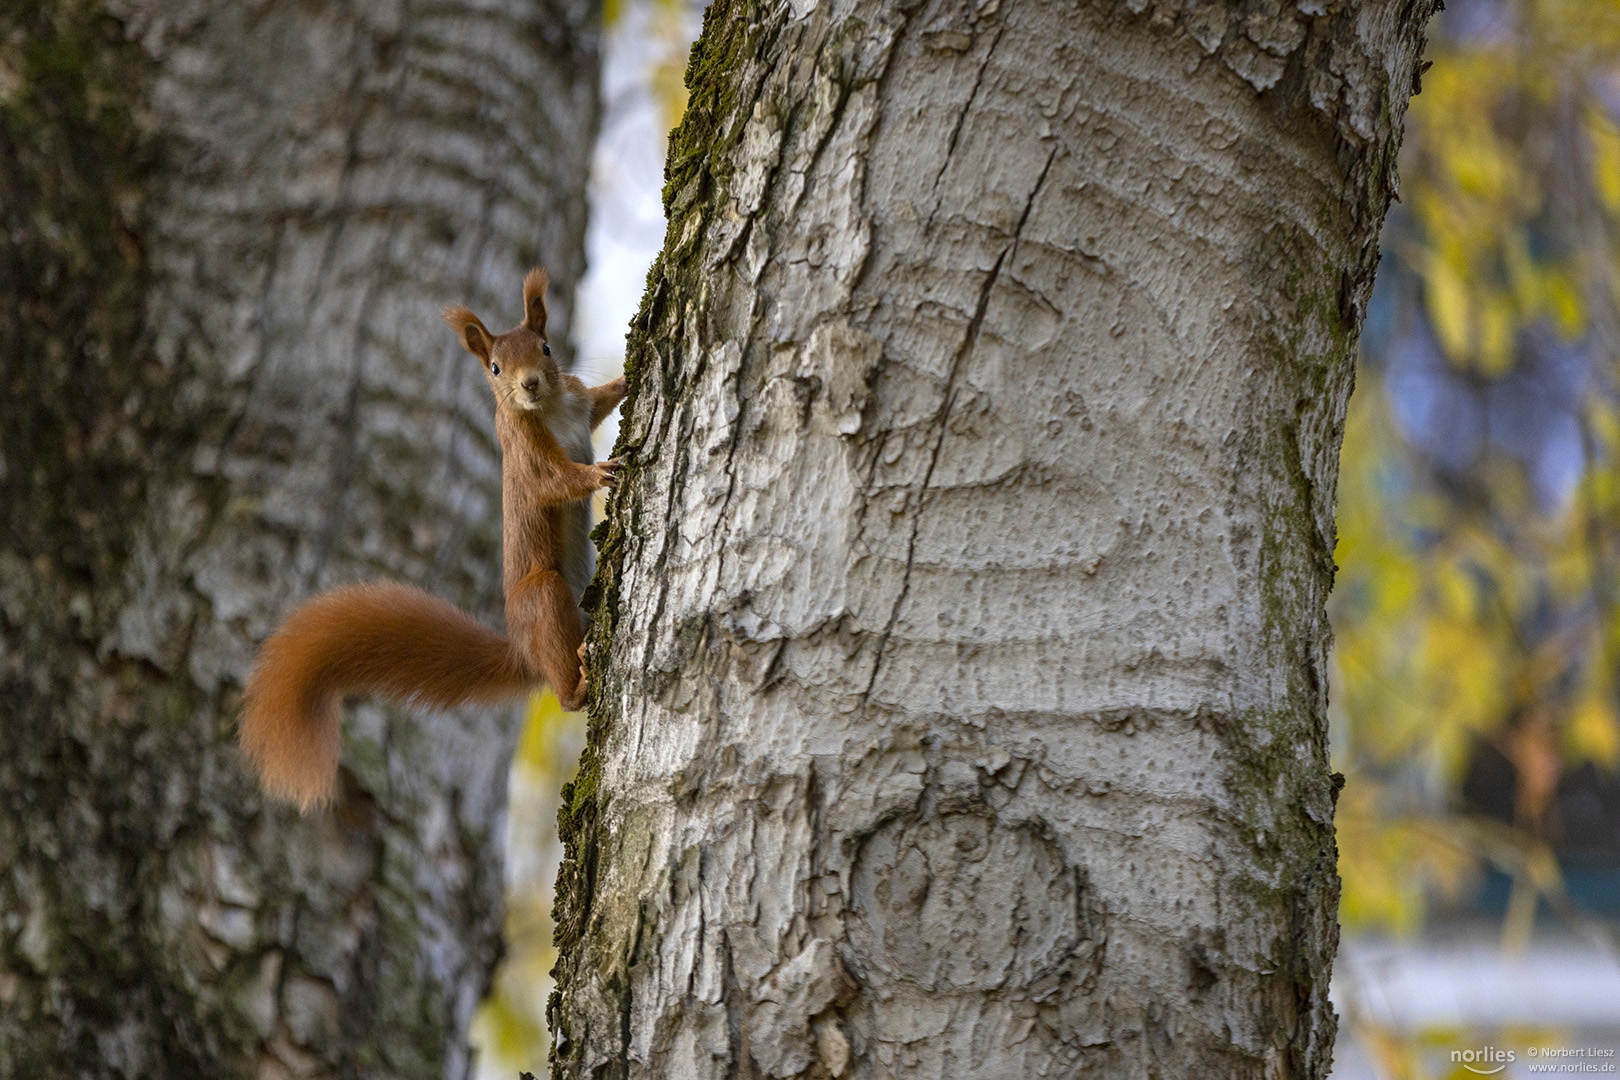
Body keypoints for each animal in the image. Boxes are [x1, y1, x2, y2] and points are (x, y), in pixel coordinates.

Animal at [239, 270, 625, 809]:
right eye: (495, 367)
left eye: (546, 348)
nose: (528, 383)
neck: (548, 406)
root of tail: (524, 652)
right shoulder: (523, 451)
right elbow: (552, 482)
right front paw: (599, 473)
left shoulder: (577, 399)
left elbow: (600, 401)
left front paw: (627, 377)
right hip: (541, 598)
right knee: (563, 685)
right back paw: (582, 682)